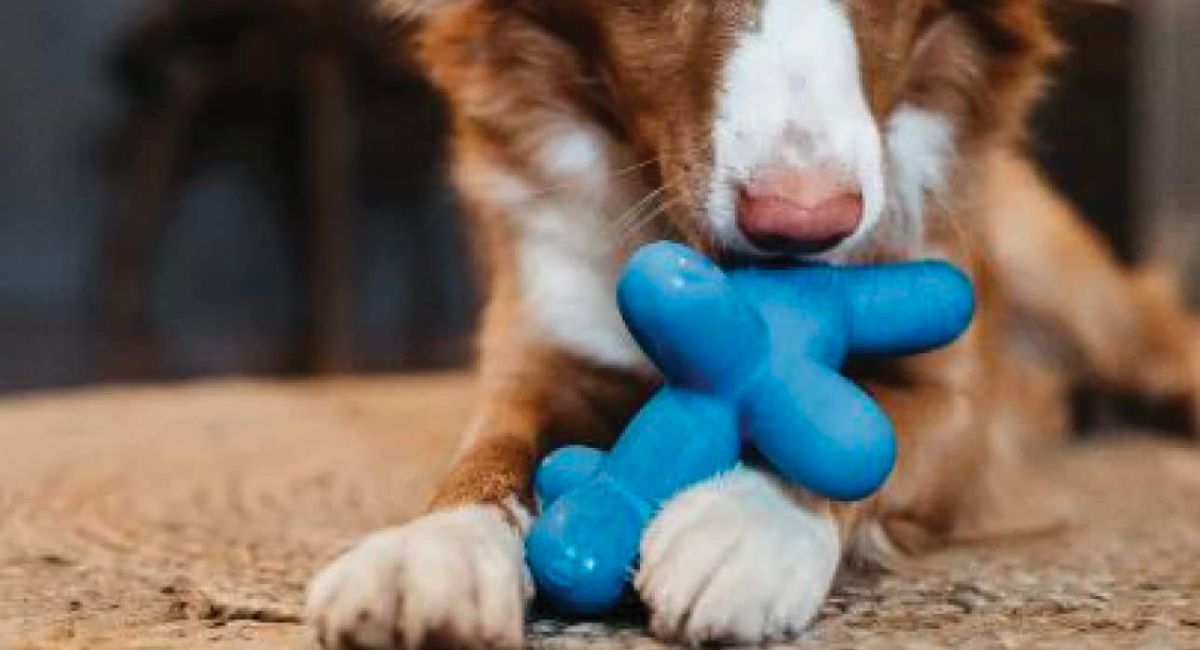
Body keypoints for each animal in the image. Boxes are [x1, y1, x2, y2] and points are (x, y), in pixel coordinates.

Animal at [304, 2, 1195, 647]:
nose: (804, 223)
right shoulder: (544, 346)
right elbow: (492, 452)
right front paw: (433, 549)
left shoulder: (957, 397)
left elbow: (874, 428)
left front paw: (749, 519)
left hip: (1071, 285)